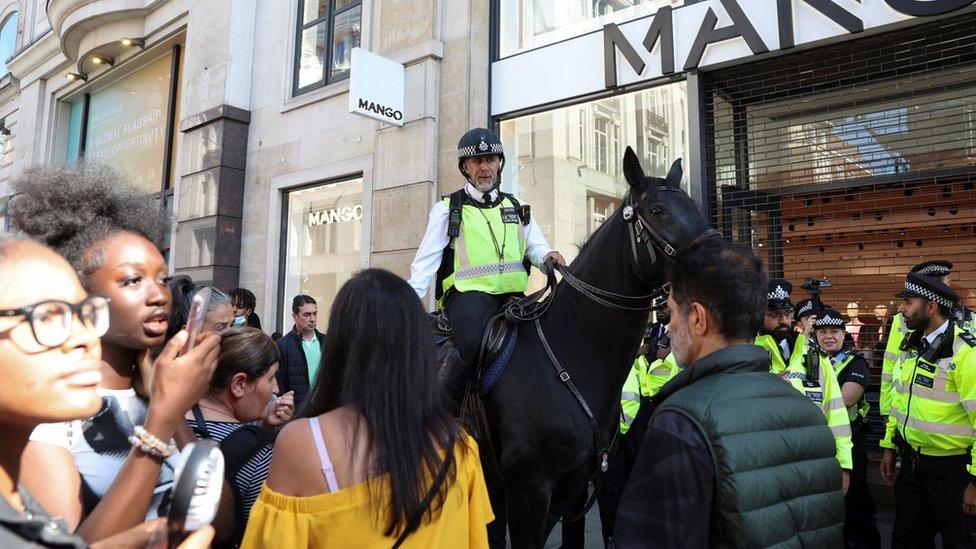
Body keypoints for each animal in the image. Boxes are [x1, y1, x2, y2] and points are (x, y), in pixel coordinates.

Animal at [466, 147, 716, 548]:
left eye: (693, 206)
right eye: (658, 210)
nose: (722, 258)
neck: (571, 352)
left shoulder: (570, 491)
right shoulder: (529, 491)